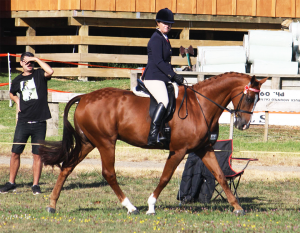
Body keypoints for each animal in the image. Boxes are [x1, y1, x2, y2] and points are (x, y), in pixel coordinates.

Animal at [39, 72, 268, 215]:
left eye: (257, 99)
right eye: (249, 98)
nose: (243, 124)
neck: (200, 105)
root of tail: (85, 97)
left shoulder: (204, 149)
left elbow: (220, 175)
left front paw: (237, 207)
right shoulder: (178, 150)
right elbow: (165, 177)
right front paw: (151, 206)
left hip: (89, 143)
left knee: (67, 167)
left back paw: (52, 204)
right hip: (106, 142)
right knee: (109, 173)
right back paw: (131, 207)